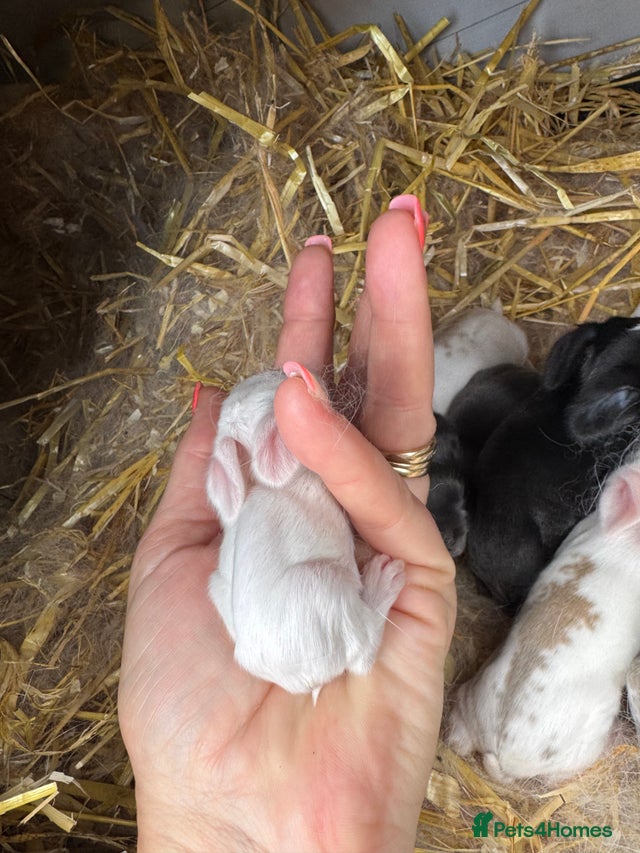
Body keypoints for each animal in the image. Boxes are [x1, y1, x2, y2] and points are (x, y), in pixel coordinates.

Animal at [205, 367, 406, 696]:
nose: (284, 369)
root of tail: (306, 681)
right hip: (322, 584)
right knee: (363, 653)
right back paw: (386, 577)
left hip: (217, 585)